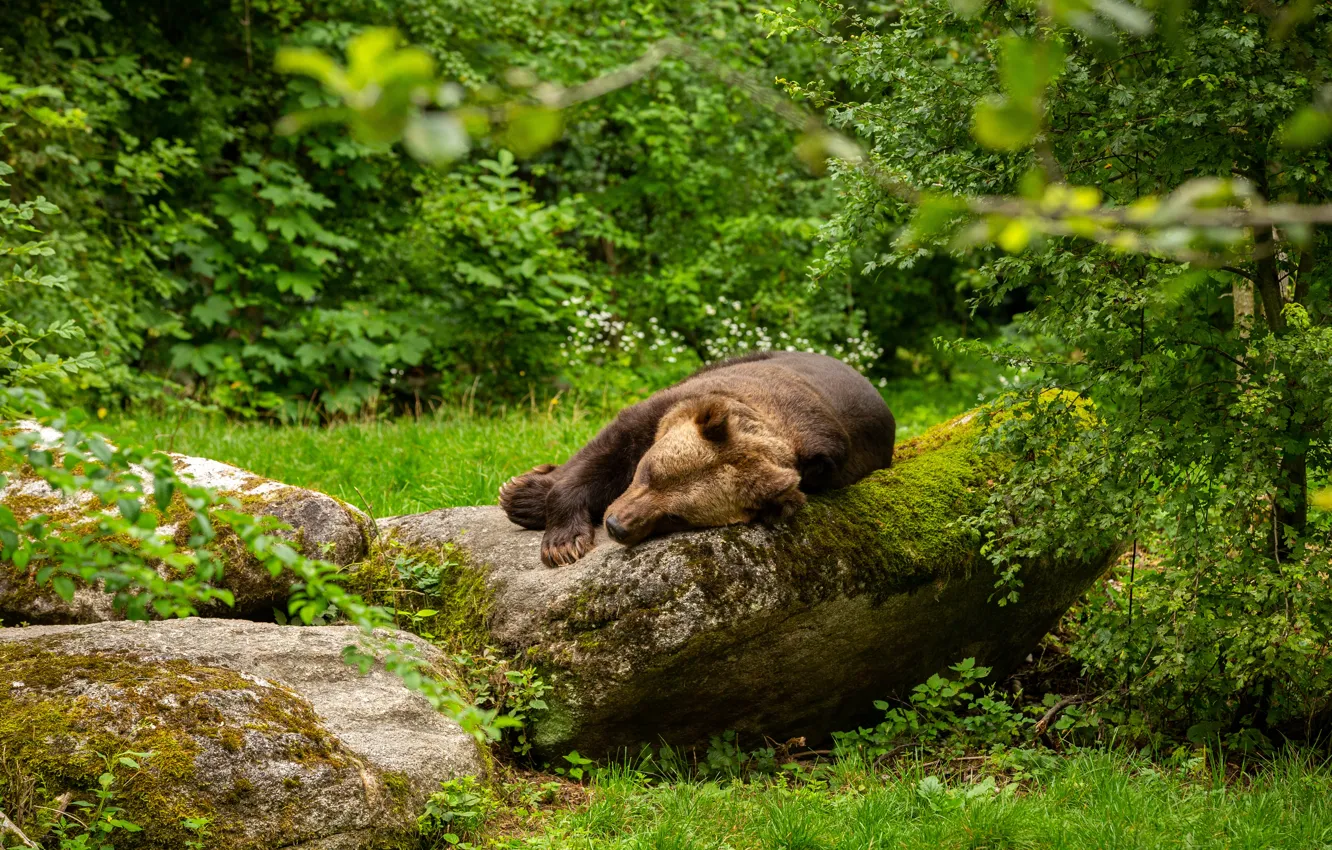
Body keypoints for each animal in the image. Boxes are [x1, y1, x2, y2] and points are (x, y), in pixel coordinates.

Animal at [499, 351, 896, 566]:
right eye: (649, 472)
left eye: (677, 516)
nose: (616, 525)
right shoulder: (671, 407)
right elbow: (603, 454)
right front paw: (560, 538)